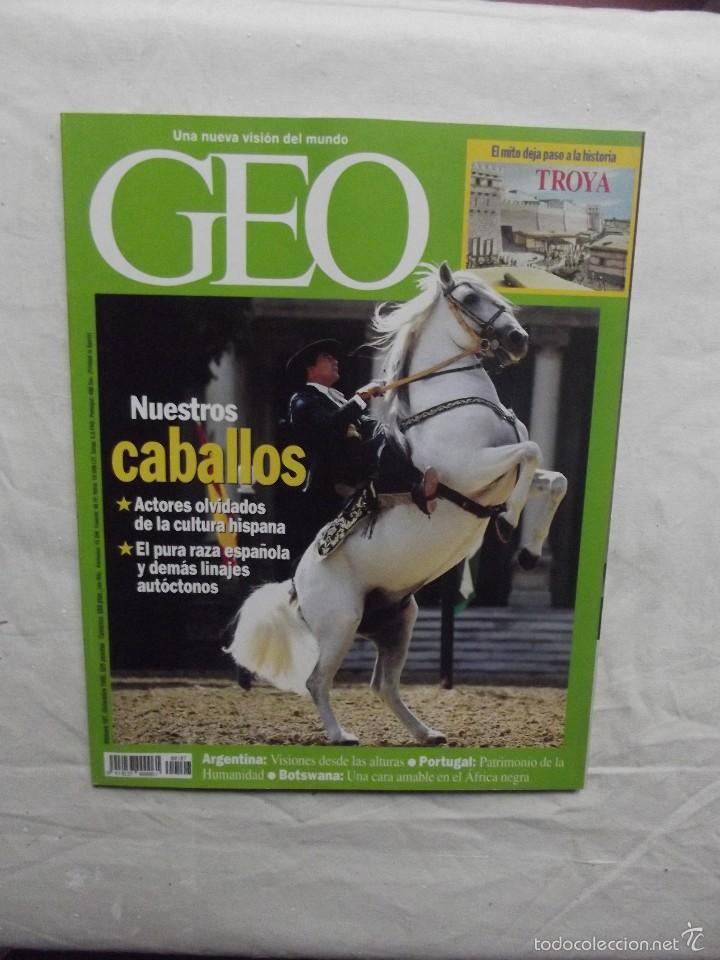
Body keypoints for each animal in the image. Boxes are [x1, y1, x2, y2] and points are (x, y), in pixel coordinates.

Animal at [226, 263, 567, 745]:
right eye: (470, 298)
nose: (518, 339)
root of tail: (295, 583)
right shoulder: (470, 470)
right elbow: (532, 452)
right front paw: (507, 523)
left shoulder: (501, 473)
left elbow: (553, 479)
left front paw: (529, 551)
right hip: (340, 623)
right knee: (317, 681)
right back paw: (341, 735)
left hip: (399, 621)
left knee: (383, 685)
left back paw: (427, 733)